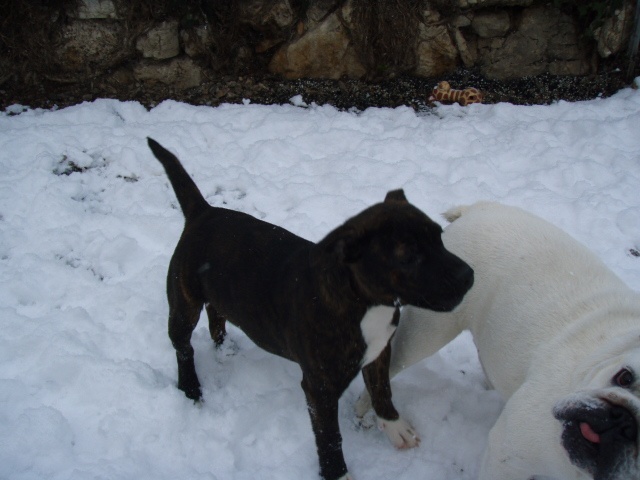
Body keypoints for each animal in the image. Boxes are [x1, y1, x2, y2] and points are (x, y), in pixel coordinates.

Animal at [146, 138, 474, 480]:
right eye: (409, 257)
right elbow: (330, 437)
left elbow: (382, 389)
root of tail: (203, 211)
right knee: (183, 346)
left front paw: (394, 426)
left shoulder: (380, 350)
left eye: (440, 236)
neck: (364, 300)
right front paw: (337, 473)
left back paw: (224, 348)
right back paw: (190, 387)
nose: (469, 276)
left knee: (217, 312)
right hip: (184, 302)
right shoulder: (321, 390)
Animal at [356, 201, 640, 480]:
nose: (623, 421)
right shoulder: (509, 453)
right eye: (624, 376)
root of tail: (476, 209)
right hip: (429, 329)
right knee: (390, 366)